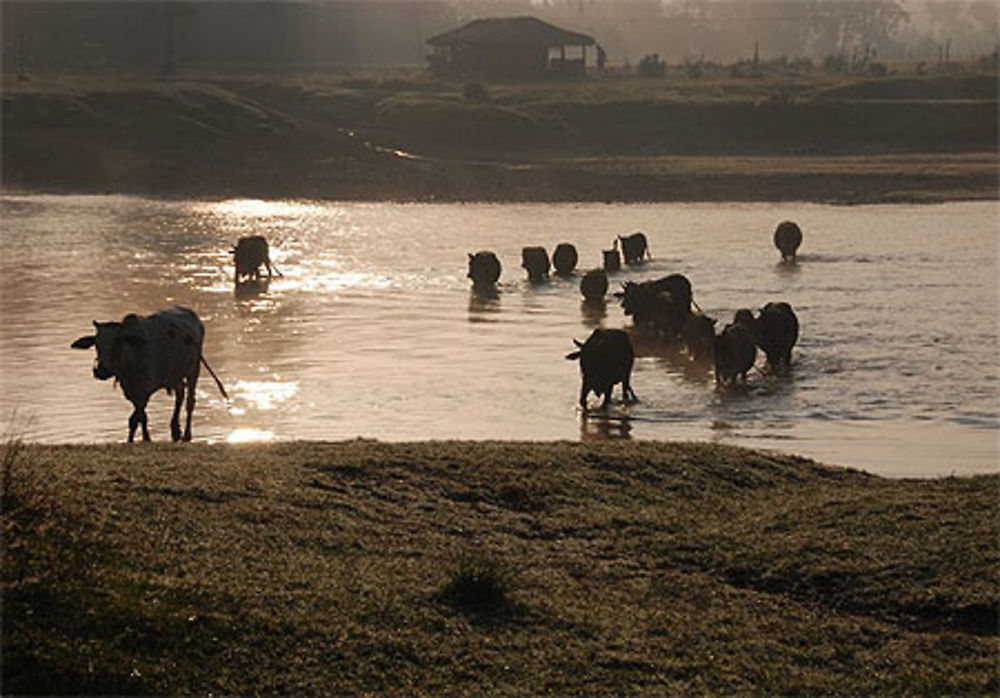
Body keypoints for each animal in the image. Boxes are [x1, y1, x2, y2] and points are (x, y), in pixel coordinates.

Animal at [71, 304, 229, 440]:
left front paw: (140, 439)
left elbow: (136, 418)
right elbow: (140, 417)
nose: (101, 371)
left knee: (190, 402)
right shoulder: (132, 392)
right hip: (174, 375)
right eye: (96, 344)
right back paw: (175, 430)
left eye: (118, 344)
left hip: (194, 371)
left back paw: (186, 435)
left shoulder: (145, 390)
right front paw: (141, 439)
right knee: (180, 395)